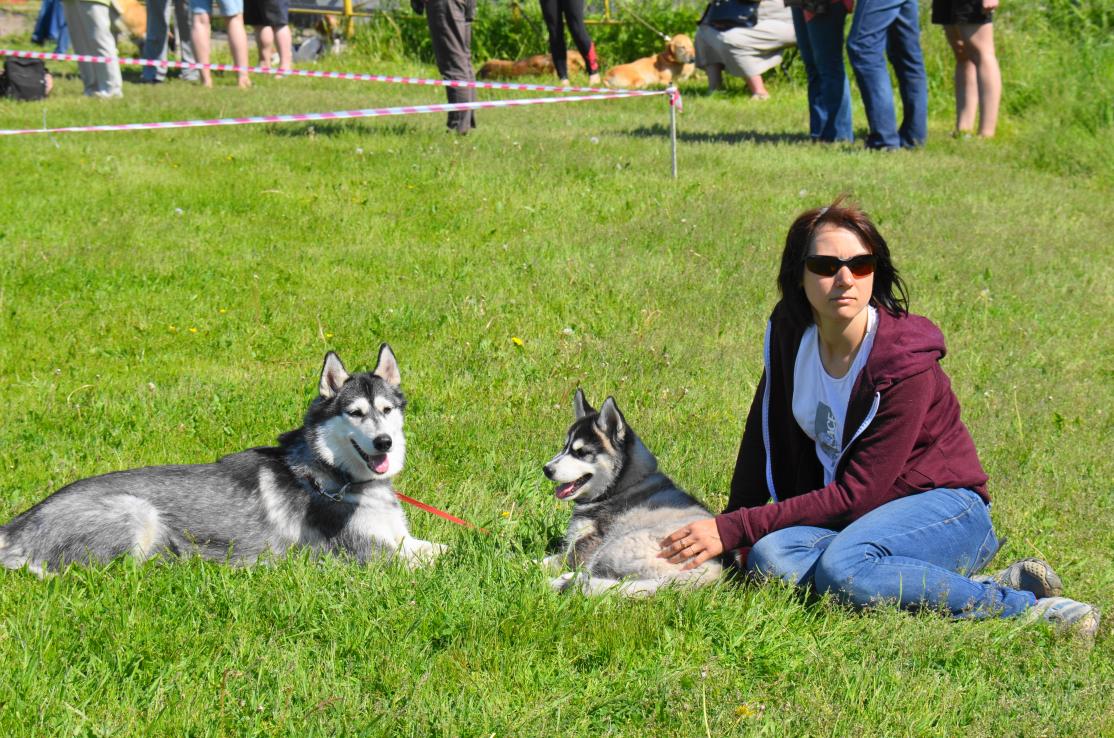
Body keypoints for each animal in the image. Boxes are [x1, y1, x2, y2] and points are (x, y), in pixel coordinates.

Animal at [0, 346, 445, 576]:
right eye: (355, 413)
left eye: (386, 409)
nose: (384, 442)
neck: (330, 477)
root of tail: (18, 523)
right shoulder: (375, 555)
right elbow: (449, 553)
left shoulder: (399, 539)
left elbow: (446, 543)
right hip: (136, 513)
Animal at [541, 390, 723, 596]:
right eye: (564, 447)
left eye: (581, 452)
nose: (546, 469)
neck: (622, 486)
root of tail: (712, 572)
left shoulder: (583, 549)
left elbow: (542, 562)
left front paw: (523, 567)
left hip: (613, 548)